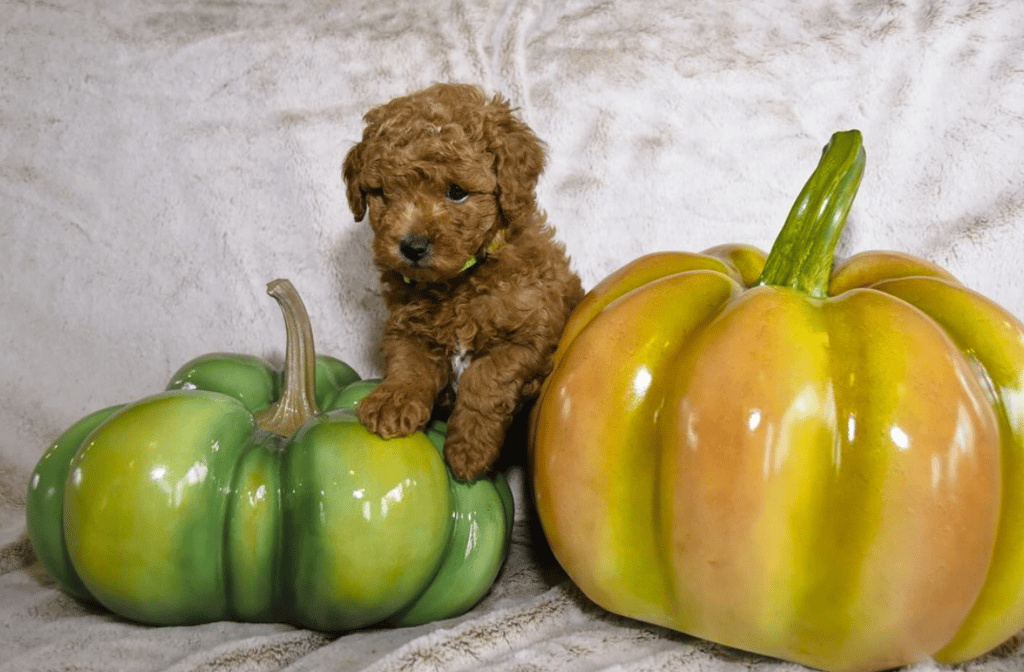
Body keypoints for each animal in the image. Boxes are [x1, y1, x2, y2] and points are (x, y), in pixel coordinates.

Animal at [344, 84, 585, 479]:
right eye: (384, 193)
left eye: (457, 192)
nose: (412, 247)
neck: (458, 282)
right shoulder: (407, 326)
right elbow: (407, 364)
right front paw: (392, 402)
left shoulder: (528, 336)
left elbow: (485, 380)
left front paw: (468, 450)